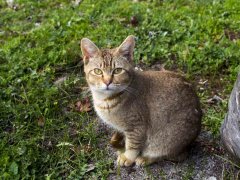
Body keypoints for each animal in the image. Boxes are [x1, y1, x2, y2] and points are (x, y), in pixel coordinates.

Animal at [80, 35, 202, 167]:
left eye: (117, 70)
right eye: (98, 71)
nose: (107, 82)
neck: (106, 100)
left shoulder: (137, 126)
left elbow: (133, 144)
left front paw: (128, 157)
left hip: (168, 140)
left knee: (172, 155)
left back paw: (145, 158)